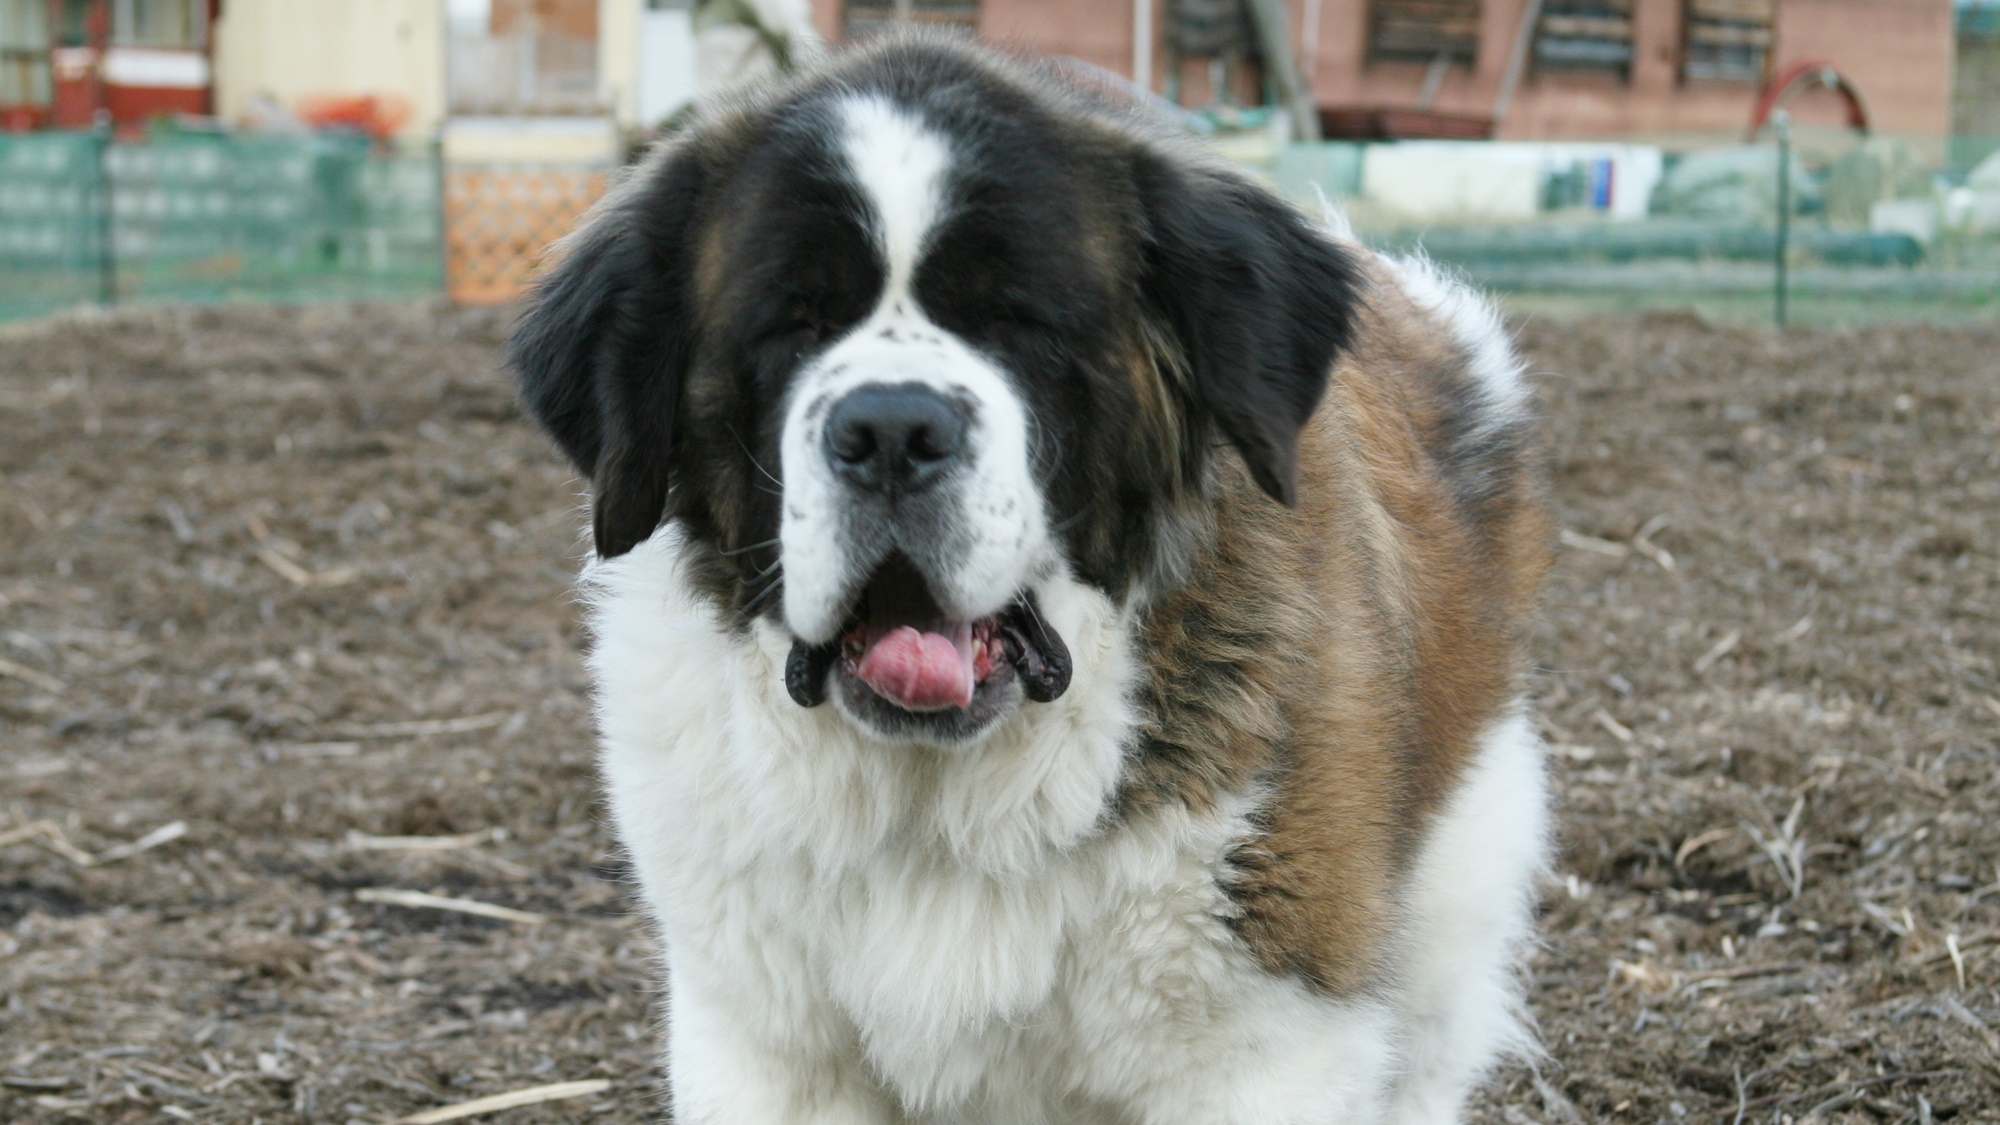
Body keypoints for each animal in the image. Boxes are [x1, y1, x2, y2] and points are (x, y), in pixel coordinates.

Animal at [508, 30, 1552, 1112]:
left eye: (1017, 321)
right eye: (791, 324)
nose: (891, 430)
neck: (942, 802)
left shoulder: (1262, 1044)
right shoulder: (761, 1042)